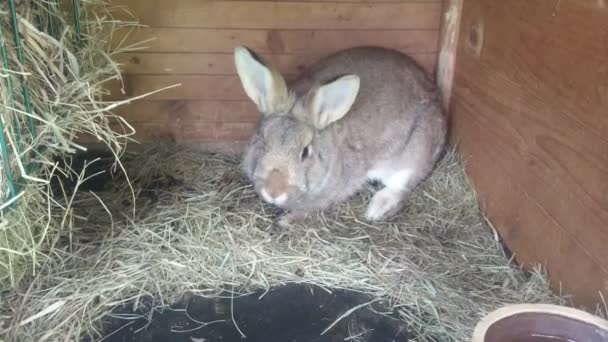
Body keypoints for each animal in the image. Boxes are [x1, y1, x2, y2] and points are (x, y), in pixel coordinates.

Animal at [233, 45, 446, 227]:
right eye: (262, 142)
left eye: (305, 152)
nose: (274, 191)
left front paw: (287, 220)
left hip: (412, 157)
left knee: (402, 186)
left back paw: (376, 209)